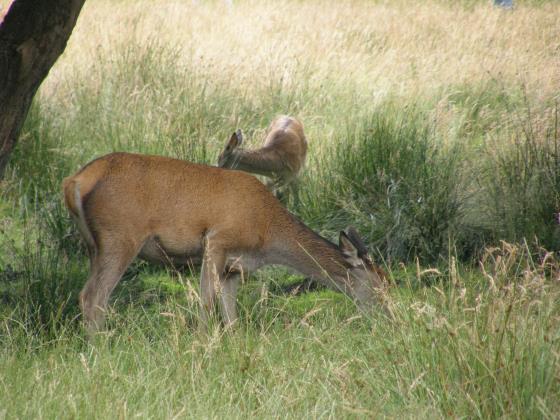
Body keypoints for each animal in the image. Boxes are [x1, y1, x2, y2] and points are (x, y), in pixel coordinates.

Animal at [61, 153, 384, 334]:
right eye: (380, 287)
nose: (389, 319)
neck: (267, 232)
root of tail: (74, 181)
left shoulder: (235, 268)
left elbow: (231, 314)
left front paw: (232, 345)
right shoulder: (217, 240)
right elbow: (206, 301)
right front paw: (204, 344)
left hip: (94, 246)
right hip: (120, 235)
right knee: (93, 296)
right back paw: (100, 349)